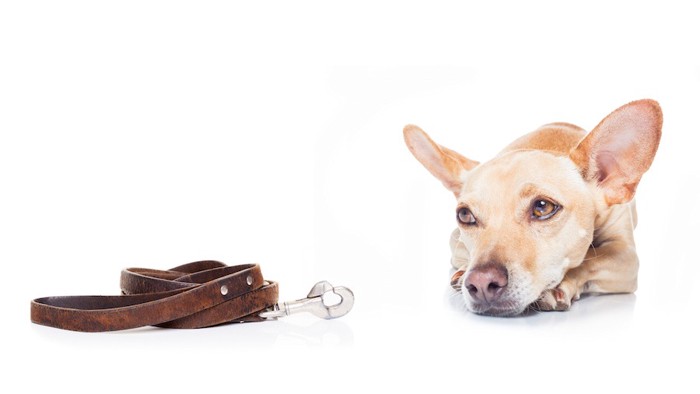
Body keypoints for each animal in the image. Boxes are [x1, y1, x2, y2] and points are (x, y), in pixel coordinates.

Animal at [404, 100, 660, 316]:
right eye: (465, 215)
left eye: (543, 207)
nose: (481, 282)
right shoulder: (455, 241)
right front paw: (463, 271)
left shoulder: (625, 256)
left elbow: (591, 260)